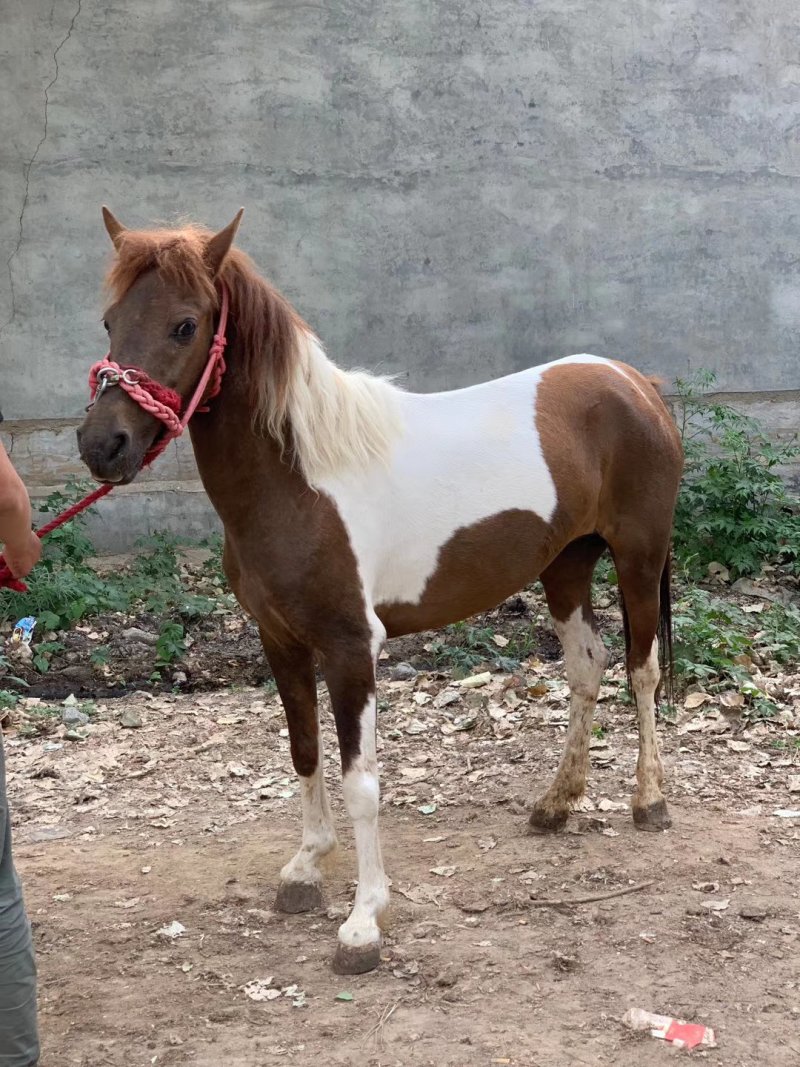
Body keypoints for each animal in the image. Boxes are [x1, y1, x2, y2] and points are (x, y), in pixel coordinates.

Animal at [77, 208, 684, 974]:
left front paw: (363, 921)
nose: (103, 445)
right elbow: (304, 752)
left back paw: (649, 800)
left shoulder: (350, 647)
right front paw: (305, 868)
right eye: (109, 321)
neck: (302, 479)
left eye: (185, 325)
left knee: (642, 670)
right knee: (587, 668)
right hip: (566, 565)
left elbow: (361, 782)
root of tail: (635, 382)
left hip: (638, 558)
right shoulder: (281, 641)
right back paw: (555, 804)